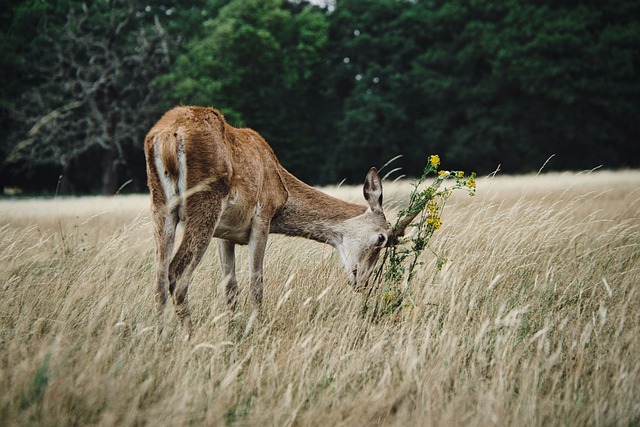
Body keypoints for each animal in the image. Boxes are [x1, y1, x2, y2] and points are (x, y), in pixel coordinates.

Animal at [144, 107, 420, 342]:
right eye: (382, 238)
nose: (362, 282)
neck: (281, 189)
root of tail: (166, 137)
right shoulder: (262, 217)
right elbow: (256, 283)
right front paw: (254, 331)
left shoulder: (225, 234)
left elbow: (231, 287)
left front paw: (232, 333)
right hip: (205, 205)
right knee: (177, 272)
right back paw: (190, 339)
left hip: (161, 207)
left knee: (159, 277)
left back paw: (159, 339)